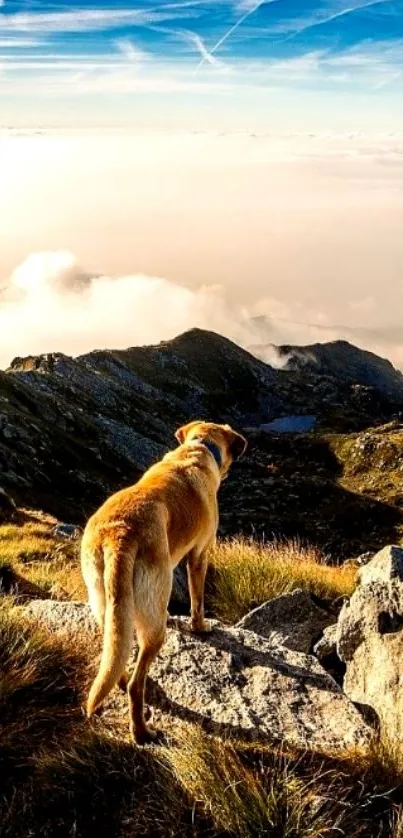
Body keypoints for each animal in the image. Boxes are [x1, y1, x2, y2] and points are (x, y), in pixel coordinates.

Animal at [81, 424, 248, 744]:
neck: (198, 448)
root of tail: (119, 534)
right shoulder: (199, 554)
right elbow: (197, 600)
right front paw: (201, 627)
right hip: (154, 622)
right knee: (136, 684)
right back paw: (142, 732)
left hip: (104, 602)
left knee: (116, 655)